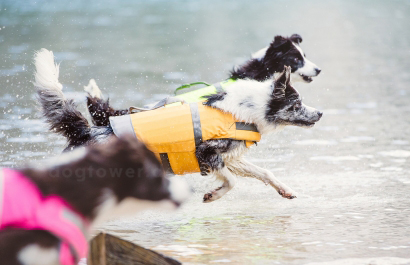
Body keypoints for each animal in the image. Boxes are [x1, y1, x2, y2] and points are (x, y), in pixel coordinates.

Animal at [35, 48, 322, 202]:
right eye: (296, 104)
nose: (320, 113)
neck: (250, 110)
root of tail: (85, 131)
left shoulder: (229, 156)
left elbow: (264, 172)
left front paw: (286, 190)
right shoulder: (208, 152)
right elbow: (231, 183)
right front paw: (212, 195)